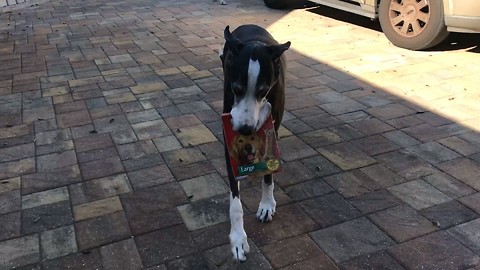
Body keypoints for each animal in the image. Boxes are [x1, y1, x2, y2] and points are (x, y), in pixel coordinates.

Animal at [220, 24, 290, 262]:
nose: (245, 128)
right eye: (236, 89)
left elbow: (268, 176)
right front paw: (238, 238)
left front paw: (267, 204)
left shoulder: (272, 131)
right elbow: (234, 201)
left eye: (263, 91)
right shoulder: (228, 137)